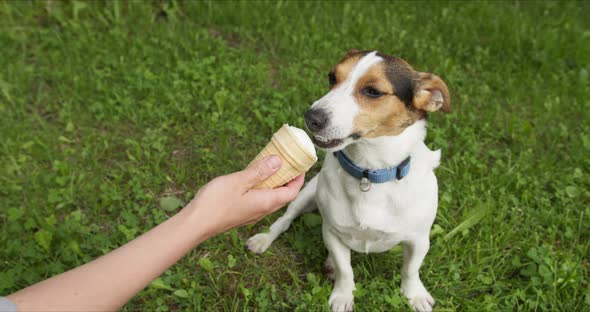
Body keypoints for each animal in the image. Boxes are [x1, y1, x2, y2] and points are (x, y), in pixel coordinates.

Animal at [247, 50, 450, 310]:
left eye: (373, 91)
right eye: (332, 77)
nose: (311, 117)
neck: (369, 172)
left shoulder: (420, 239)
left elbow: (411, 270)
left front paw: (414, 294)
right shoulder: (332, 232)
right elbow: (346, 271)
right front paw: (343, 296)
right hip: (306, 193)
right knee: (285, 220)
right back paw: (265, 239)